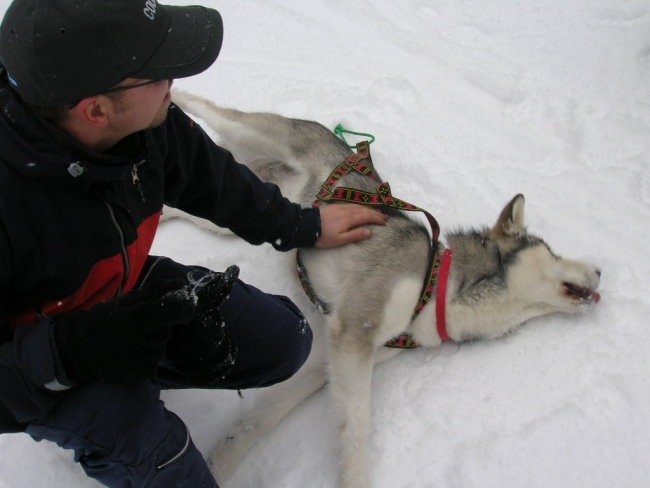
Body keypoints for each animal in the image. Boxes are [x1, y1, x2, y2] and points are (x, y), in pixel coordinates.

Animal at [170, 91, 600, 488]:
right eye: (553, 251)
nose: (599, 270)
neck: (440, 287)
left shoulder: (330, 357)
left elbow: (260, 419)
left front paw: (220, 463)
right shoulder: (354, 334)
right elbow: (357, 430)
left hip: (242, 213)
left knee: (187, 207)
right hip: (252, 134)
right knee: (207, 108)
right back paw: (171, 97)